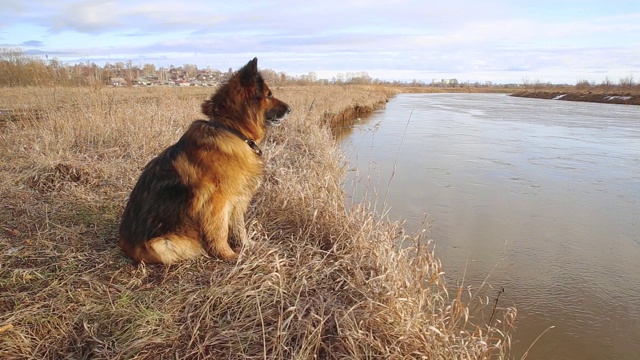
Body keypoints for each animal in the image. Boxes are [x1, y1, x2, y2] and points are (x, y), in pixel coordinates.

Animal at [117, 57, 290, 264]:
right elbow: (220, 231)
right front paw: (228, 255)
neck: (231, 130)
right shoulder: (218, 202)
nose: (290, 109)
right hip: (162, 245)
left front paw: (248, 245)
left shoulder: (238, 198)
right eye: (269, 95)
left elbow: (239, 226)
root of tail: (124, 245)